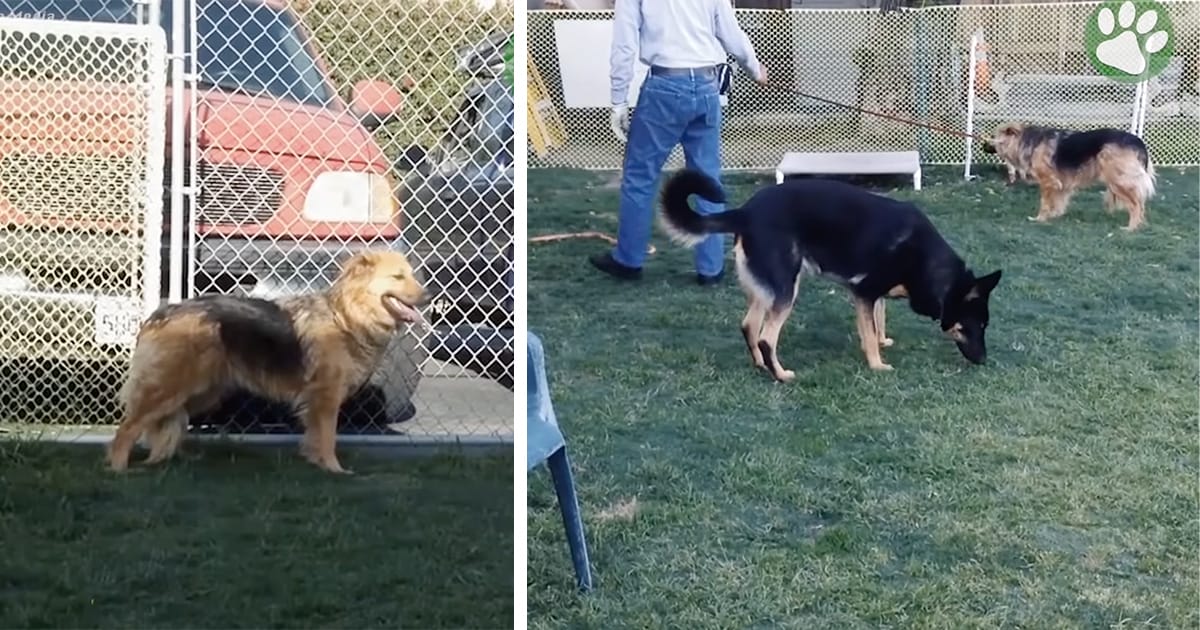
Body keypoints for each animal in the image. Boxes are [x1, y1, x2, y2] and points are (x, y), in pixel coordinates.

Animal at [105, 249, 429, 470]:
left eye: (412, 275)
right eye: (398, 277)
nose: (428, 297)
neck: (346, 316)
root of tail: (160, 313)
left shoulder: (316, 401)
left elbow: (314, 436)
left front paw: (314, 463)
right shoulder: (326, 397)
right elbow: (328, 437)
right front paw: (335, 470)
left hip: (201, 392)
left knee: (167, 421)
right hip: (172, 386)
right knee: (129, 427)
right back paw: (120, 468)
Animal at [979, 123, 1156, 230]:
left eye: (993, 136)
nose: (982, 146)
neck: (1028, 141)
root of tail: (1138, 141)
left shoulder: (1048, 181)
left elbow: (1045, 203)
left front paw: (1040, 219)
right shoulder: (1061, 183)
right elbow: (1059, 201)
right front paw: (1054, 216)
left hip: (1117, 181)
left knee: (1136, 205)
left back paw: (1131, 228)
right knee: (1140, 202)